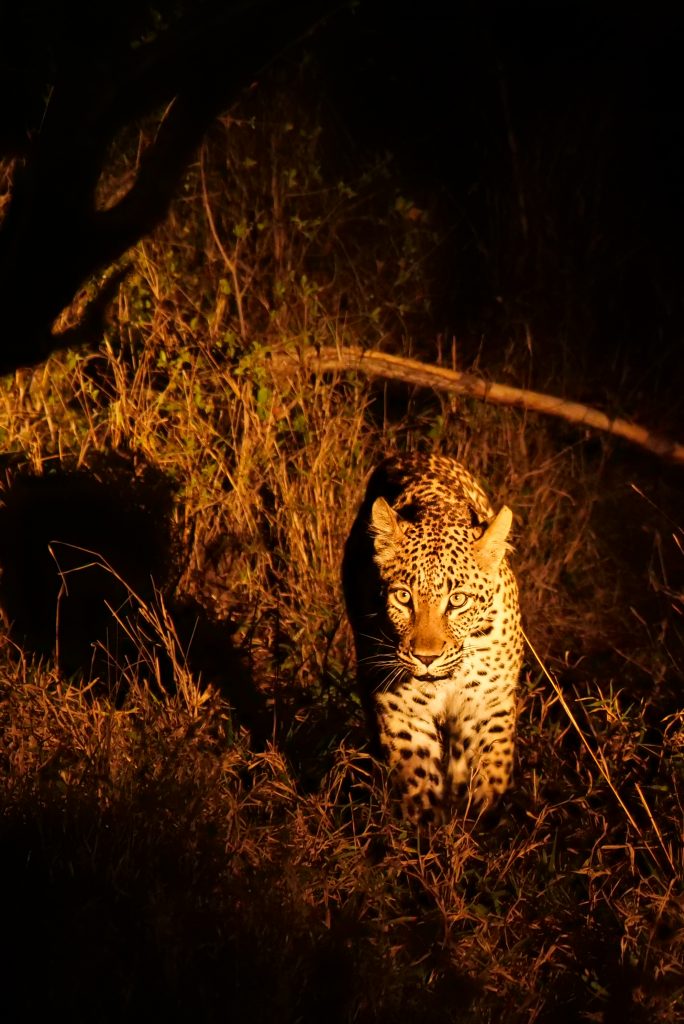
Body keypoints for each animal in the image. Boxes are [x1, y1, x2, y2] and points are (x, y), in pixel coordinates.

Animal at [342, 456, 524, 823]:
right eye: (403, 597)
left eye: (457, 600)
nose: (426, 657)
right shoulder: (401, 709)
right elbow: (417, 778)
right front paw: (426, 825)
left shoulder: (489, 702)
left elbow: (490, 767)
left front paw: (481, 815)